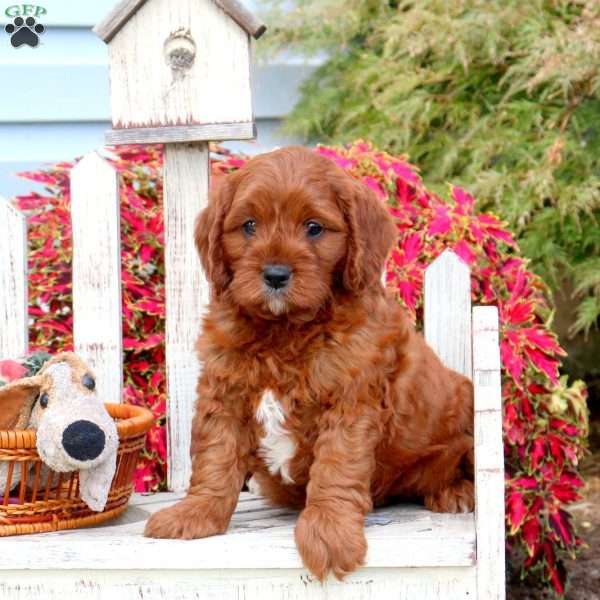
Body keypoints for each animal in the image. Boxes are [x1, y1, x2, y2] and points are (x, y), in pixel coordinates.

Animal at [145, 146, 474, 580]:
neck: (283, 331)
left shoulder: (351, 401)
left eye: (314, 228)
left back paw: (456, 491)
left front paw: (329, 531)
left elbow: (337, 466)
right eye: (249, 225)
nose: (275, 274)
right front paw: (196, 512)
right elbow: (215, 456)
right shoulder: (224, 393)